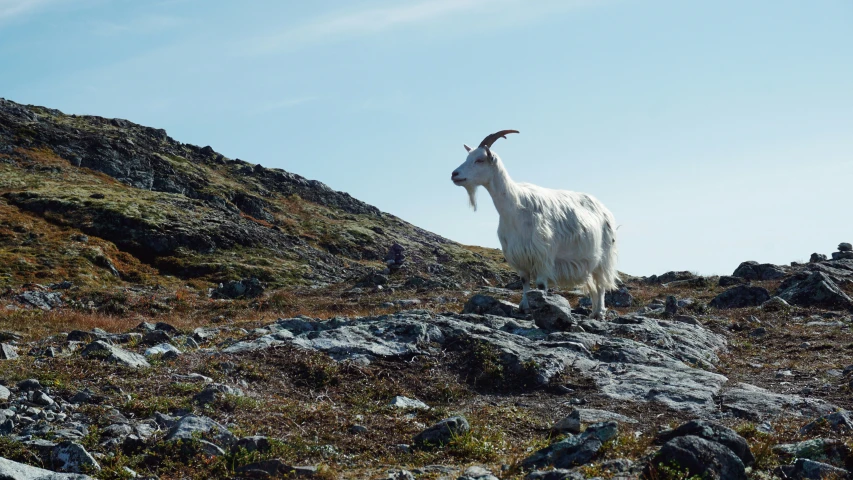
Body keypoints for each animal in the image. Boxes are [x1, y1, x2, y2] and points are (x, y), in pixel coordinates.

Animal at [452, 131, 620, 318]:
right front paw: (524, 306)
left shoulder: (542, 255)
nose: (454, 174)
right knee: (595, 287)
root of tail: (604, 209)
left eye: (480, 159)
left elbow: (540, 285)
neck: (515, 207)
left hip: (604, 257)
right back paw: (594, 312)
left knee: (601, 285)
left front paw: (543, 306)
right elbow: (524, 281)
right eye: (467, 157)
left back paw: (599, 313)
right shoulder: (519, 255)